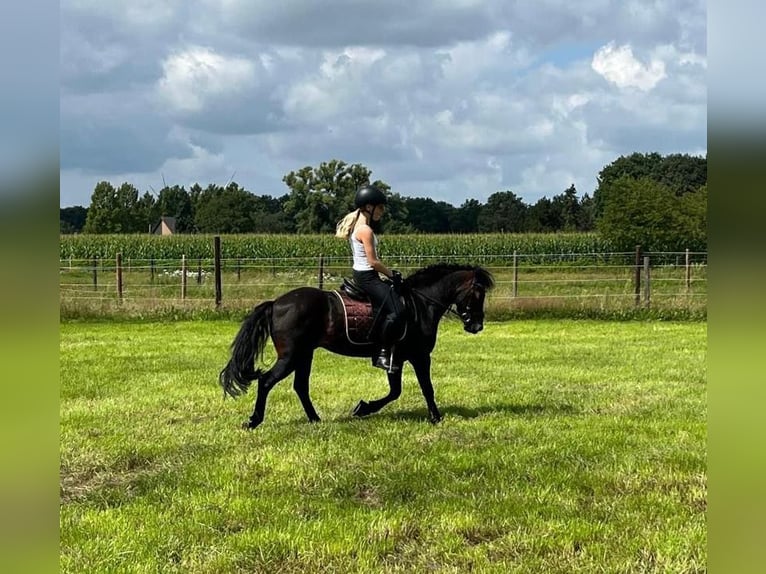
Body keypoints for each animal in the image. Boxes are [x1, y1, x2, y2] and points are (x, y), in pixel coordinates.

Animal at [219, 263, 495, 429]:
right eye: (477, 293)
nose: (476, 326)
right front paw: (436, 418)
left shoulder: (395, 358)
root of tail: (276, 303)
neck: (420, 304)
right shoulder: (418, 356)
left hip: (305, 354)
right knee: (266, 381)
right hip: (291, 356)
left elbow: (395, 392)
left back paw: (315, 419)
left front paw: (363, 408)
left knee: (300, 387)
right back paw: (254, 421)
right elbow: (426, 388)